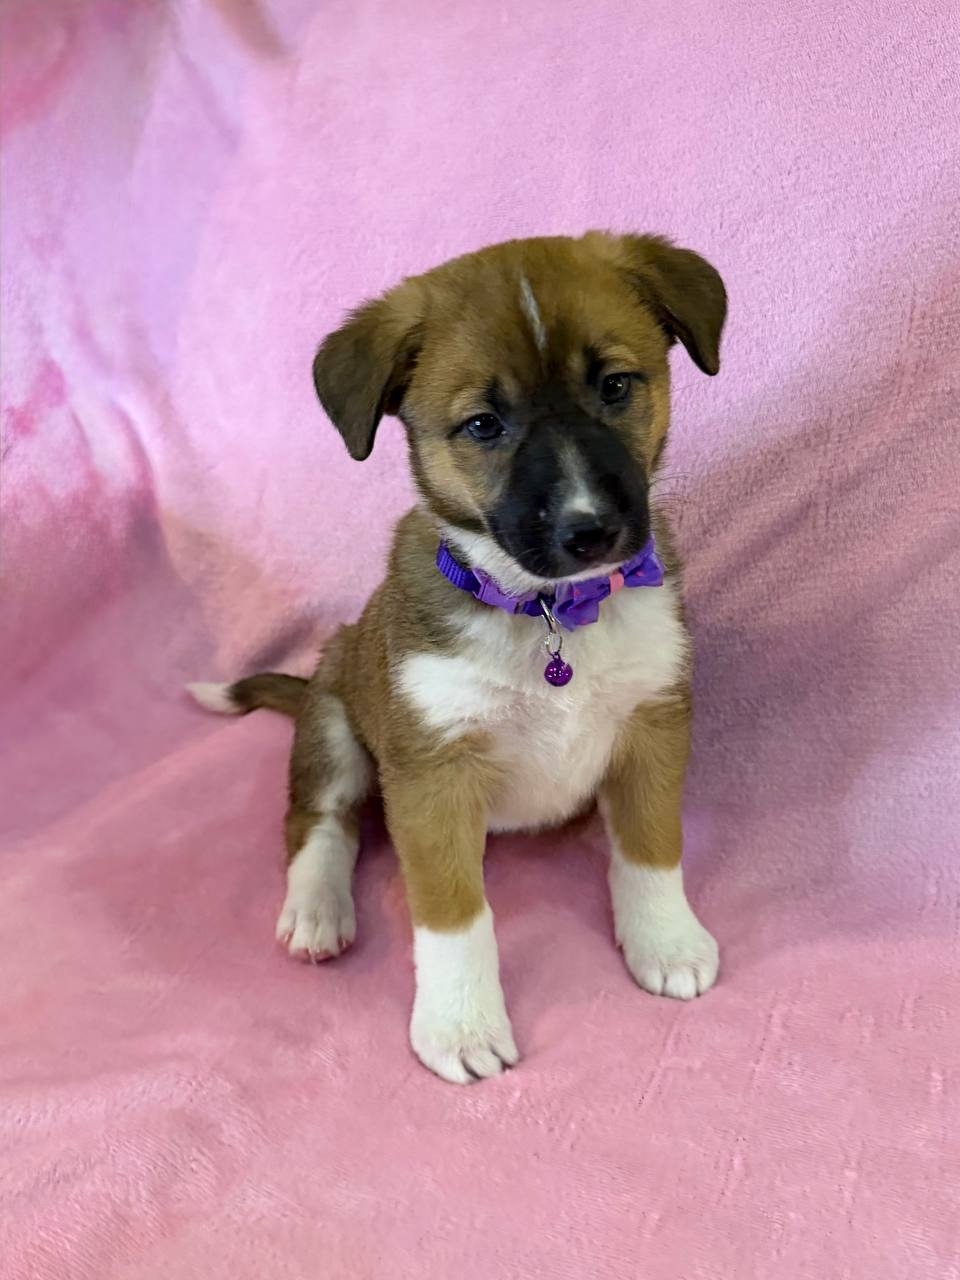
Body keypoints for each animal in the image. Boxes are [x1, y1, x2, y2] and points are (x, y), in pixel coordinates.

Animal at [189, 232, 727, 1083]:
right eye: (482, 424)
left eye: (615, 385)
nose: (591, 531)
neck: (550, 612)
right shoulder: (433, 776)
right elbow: (452, 915)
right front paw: (461, 1025)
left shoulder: (652, 724)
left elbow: (650, 848)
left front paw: (666, 941)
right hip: (334, 724)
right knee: (319, 821)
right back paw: (317, 908)